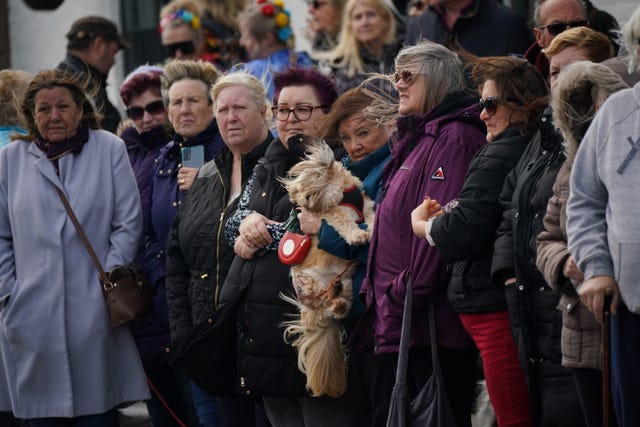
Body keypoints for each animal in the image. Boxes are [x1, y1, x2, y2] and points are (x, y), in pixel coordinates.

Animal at [280, 137, 376, 398]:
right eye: (299, 192)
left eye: (308, 187)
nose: (303, 201)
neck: (343, 194)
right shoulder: (334, 214)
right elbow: (345, 222)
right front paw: (359, 235)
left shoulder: (367, 205)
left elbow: (371, 216)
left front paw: (373, 229)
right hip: (309, 282)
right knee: (327, 309)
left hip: (348, 285)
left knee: (337, 308)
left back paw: (337, 298)